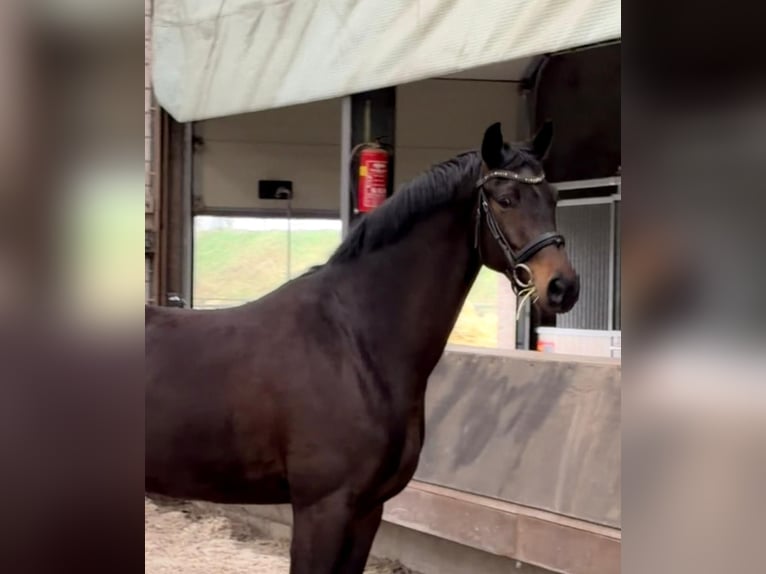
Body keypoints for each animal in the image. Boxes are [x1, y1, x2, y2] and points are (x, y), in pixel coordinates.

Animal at [145, 121, 580, 574]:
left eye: (553, 197)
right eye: (505, 199)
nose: (563, 286)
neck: (353, 341)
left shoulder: (368, 510)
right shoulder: (322, 508)